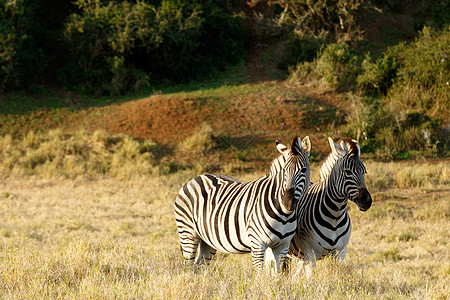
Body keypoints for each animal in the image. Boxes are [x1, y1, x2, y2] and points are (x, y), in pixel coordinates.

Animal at [174, 136, 312, 272]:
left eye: (304, 170)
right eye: (284, 171)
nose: (287, 202)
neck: (284, 215)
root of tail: (195, 179)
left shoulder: (282, 246)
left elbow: (276, 274)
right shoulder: (258, 244)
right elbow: (259, 274)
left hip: (207, 239)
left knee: (199, 265)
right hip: (187, 232)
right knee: (188, 266)